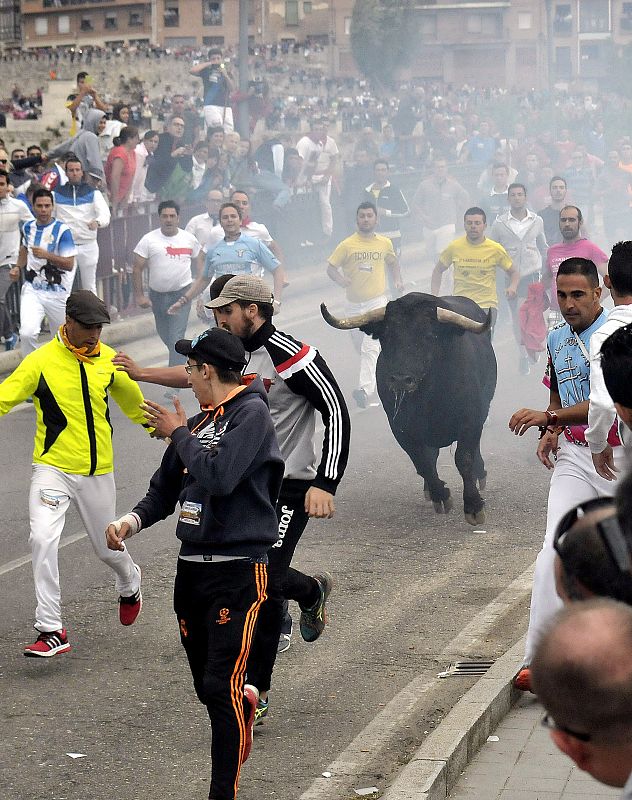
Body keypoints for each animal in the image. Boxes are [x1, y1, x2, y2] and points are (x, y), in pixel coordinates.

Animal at [324, 294, 496, 524]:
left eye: (429, 335)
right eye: (387, 336)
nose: (400, 379)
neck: (429, 397)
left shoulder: (471, 420)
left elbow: (464, 459)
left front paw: (473, 506)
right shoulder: (402, 429)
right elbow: (423, 462)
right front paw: (440, 495)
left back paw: (480, 473)